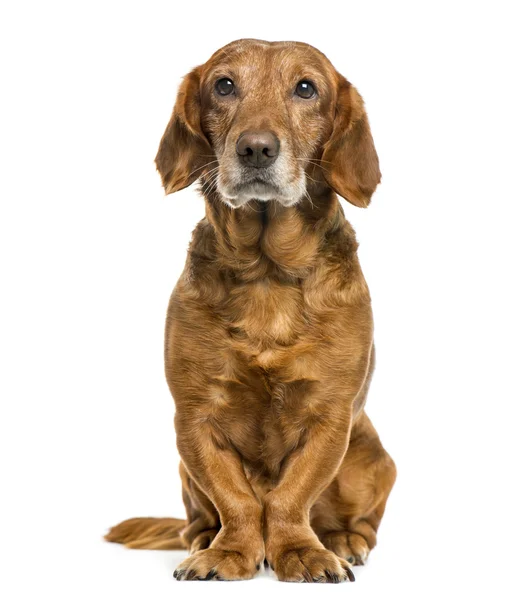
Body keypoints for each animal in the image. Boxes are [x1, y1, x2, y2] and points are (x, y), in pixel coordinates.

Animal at [106, 37, 396, 580]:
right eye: (224, 85)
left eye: (306, 88)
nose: (256, 148)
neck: (267, 273)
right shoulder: (195, 417)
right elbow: (238, 500)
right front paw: (229, 552)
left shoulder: (329, 418)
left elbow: (289, 497)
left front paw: (302, 551)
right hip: (185, 472)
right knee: (196, 518)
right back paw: (204, 538)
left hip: (372, 462)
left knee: (357, 520)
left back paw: (343, 539)